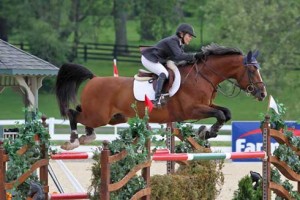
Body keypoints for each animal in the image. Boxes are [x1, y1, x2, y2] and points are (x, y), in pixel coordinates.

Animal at [56, 43, 268, 150]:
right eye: (252, 70)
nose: (262, 94)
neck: (203, 76)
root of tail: (94, 78)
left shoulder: (208, 104)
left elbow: (226, 112)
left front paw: (207, 132)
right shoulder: (192, 109)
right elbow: (221, 115)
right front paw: (207, 132)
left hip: (114, 117)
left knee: (80, 114)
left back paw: (87, 137)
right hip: (99, 115)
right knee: (73, 114)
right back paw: (73, 140)